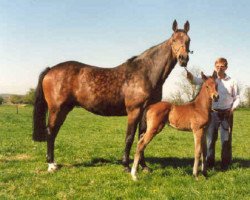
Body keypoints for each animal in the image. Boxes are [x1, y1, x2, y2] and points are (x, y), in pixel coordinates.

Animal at [32, 21, 190, 173]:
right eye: (174, 40)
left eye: (188, 40)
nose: (183, 58)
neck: (145, 73)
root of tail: (51, 69)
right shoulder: (134, 111)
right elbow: (129, 138)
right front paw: (126, 166)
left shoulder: (146, 111)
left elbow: (142, 138)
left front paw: (144, 167)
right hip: (56, 109)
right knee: (50, 132)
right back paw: (51, 165)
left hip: (64, 109)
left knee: (54, 132)